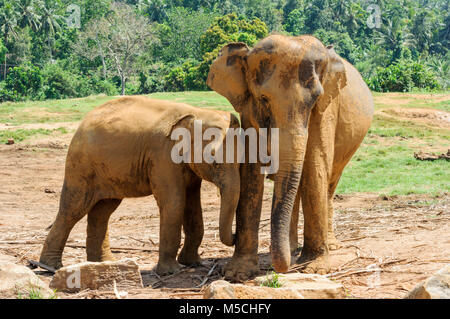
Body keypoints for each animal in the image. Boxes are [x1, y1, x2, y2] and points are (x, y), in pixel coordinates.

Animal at [40, 96, 241, 276]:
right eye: (213, 160)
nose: (236, 235)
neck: (197, 113)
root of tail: (82, 123)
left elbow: (192, 206)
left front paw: (193, 263)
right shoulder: (162, 156)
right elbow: (174, 203)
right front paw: (172, 271)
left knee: (103, 211)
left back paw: (105, 263)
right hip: (81, 166)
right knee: (73, 209)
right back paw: (50, 266)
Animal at [207, 33, 372, 282]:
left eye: (314, 100)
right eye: (263, 99)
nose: (282, 269)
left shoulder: (327, 107)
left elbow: (315, 163)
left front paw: (316, 269)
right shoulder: (248, 110)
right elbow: (251, 171)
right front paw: (238, 273)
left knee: (330, 182)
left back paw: (328, 246)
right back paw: (293, 248)